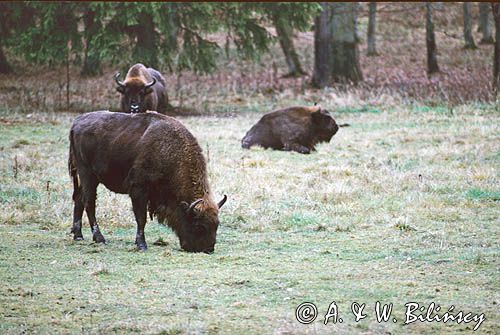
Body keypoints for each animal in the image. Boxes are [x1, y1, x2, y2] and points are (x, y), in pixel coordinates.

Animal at [68, 111, 227, 253]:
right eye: (200, 226)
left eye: (217, 225)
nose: (208, 249)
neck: (168, 150)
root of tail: (76, 123)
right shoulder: (139, 190)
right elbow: (141, 218)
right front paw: (141, 245)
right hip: (88, 175)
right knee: (89, 203)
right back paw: (99, 238)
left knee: (79, 199)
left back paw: (78, 235)